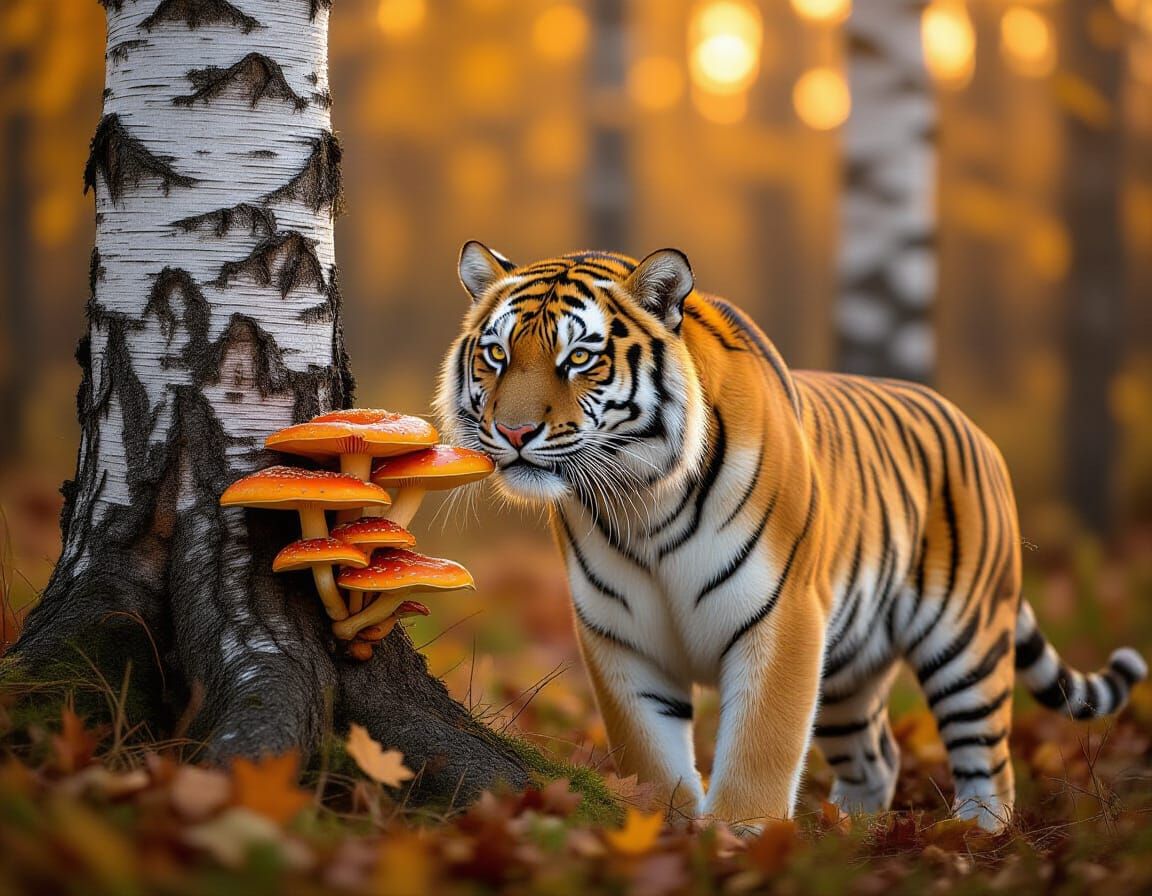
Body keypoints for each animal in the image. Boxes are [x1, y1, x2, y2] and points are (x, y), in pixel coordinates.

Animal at [435, 241, 1148, 833]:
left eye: (579, 357)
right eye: (497, 353)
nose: (514, 432)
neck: (643, 503)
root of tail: (974, 429)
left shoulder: (780, 615)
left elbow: (762, 743)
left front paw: (736, 838)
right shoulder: (620, 636)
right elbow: (649, 754)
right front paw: (667, 827)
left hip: (965, 640)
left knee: (988, 759)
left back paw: (976, 837)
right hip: (847, 671)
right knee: (877, 758)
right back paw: (849, 835)